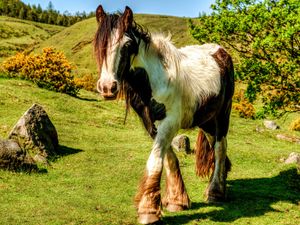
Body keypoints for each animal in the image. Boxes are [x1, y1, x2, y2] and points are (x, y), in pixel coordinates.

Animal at [94, 5, 234, 225]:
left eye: (127, 44)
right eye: (100, 42)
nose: (108, 87)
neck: (155, 80)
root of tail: (221, 52)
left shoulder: (170, 122)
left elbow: (155, 160)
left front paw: (148, 210)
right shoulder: (151, 124)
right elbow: (169, 158)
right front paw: (177, 200)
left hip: (222, 115)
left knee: (220, 148)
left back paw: (215, 192)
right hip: (206, 120)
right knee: (216, 147)